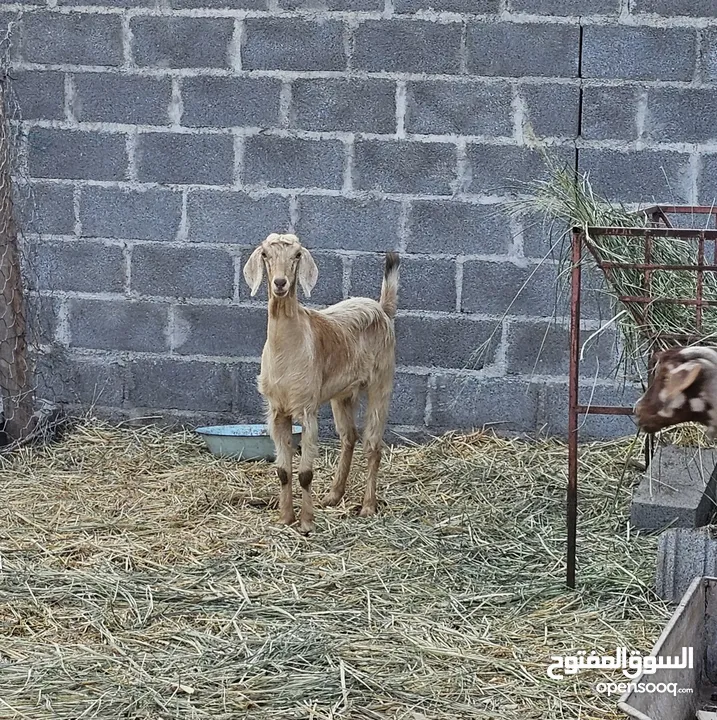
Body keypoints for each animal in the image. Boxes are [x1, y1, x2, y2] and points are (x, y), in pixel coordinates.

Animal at [241, 233, 398, 532]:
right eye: (265, 254)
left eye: (297, 255)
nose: (280, 283)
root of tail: (382, 309)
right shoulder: (277, 410)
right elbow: (283, 470)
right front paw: (285, 518)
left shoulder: (307, 409)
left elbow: (305, 473)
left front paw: (306, 523)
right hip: (342, 394)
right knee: (349, 436)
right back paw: (333, 495)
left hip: (381, 382)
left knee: (373, 444)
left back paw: (368, 506)